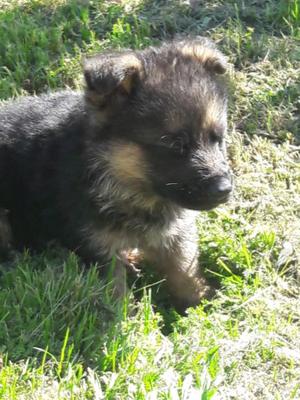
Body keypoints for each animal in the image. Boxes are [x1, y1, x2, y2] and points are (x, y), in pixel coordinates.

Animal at [0, 38, 232, 310]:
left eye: (218, 137)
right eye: (174, 144)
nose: (224, 190)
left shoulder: (175, 233)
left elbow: (184, 270)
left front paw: (200, 306)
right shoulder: (97, 246)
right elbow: (115, 292)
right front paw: (127, 317)